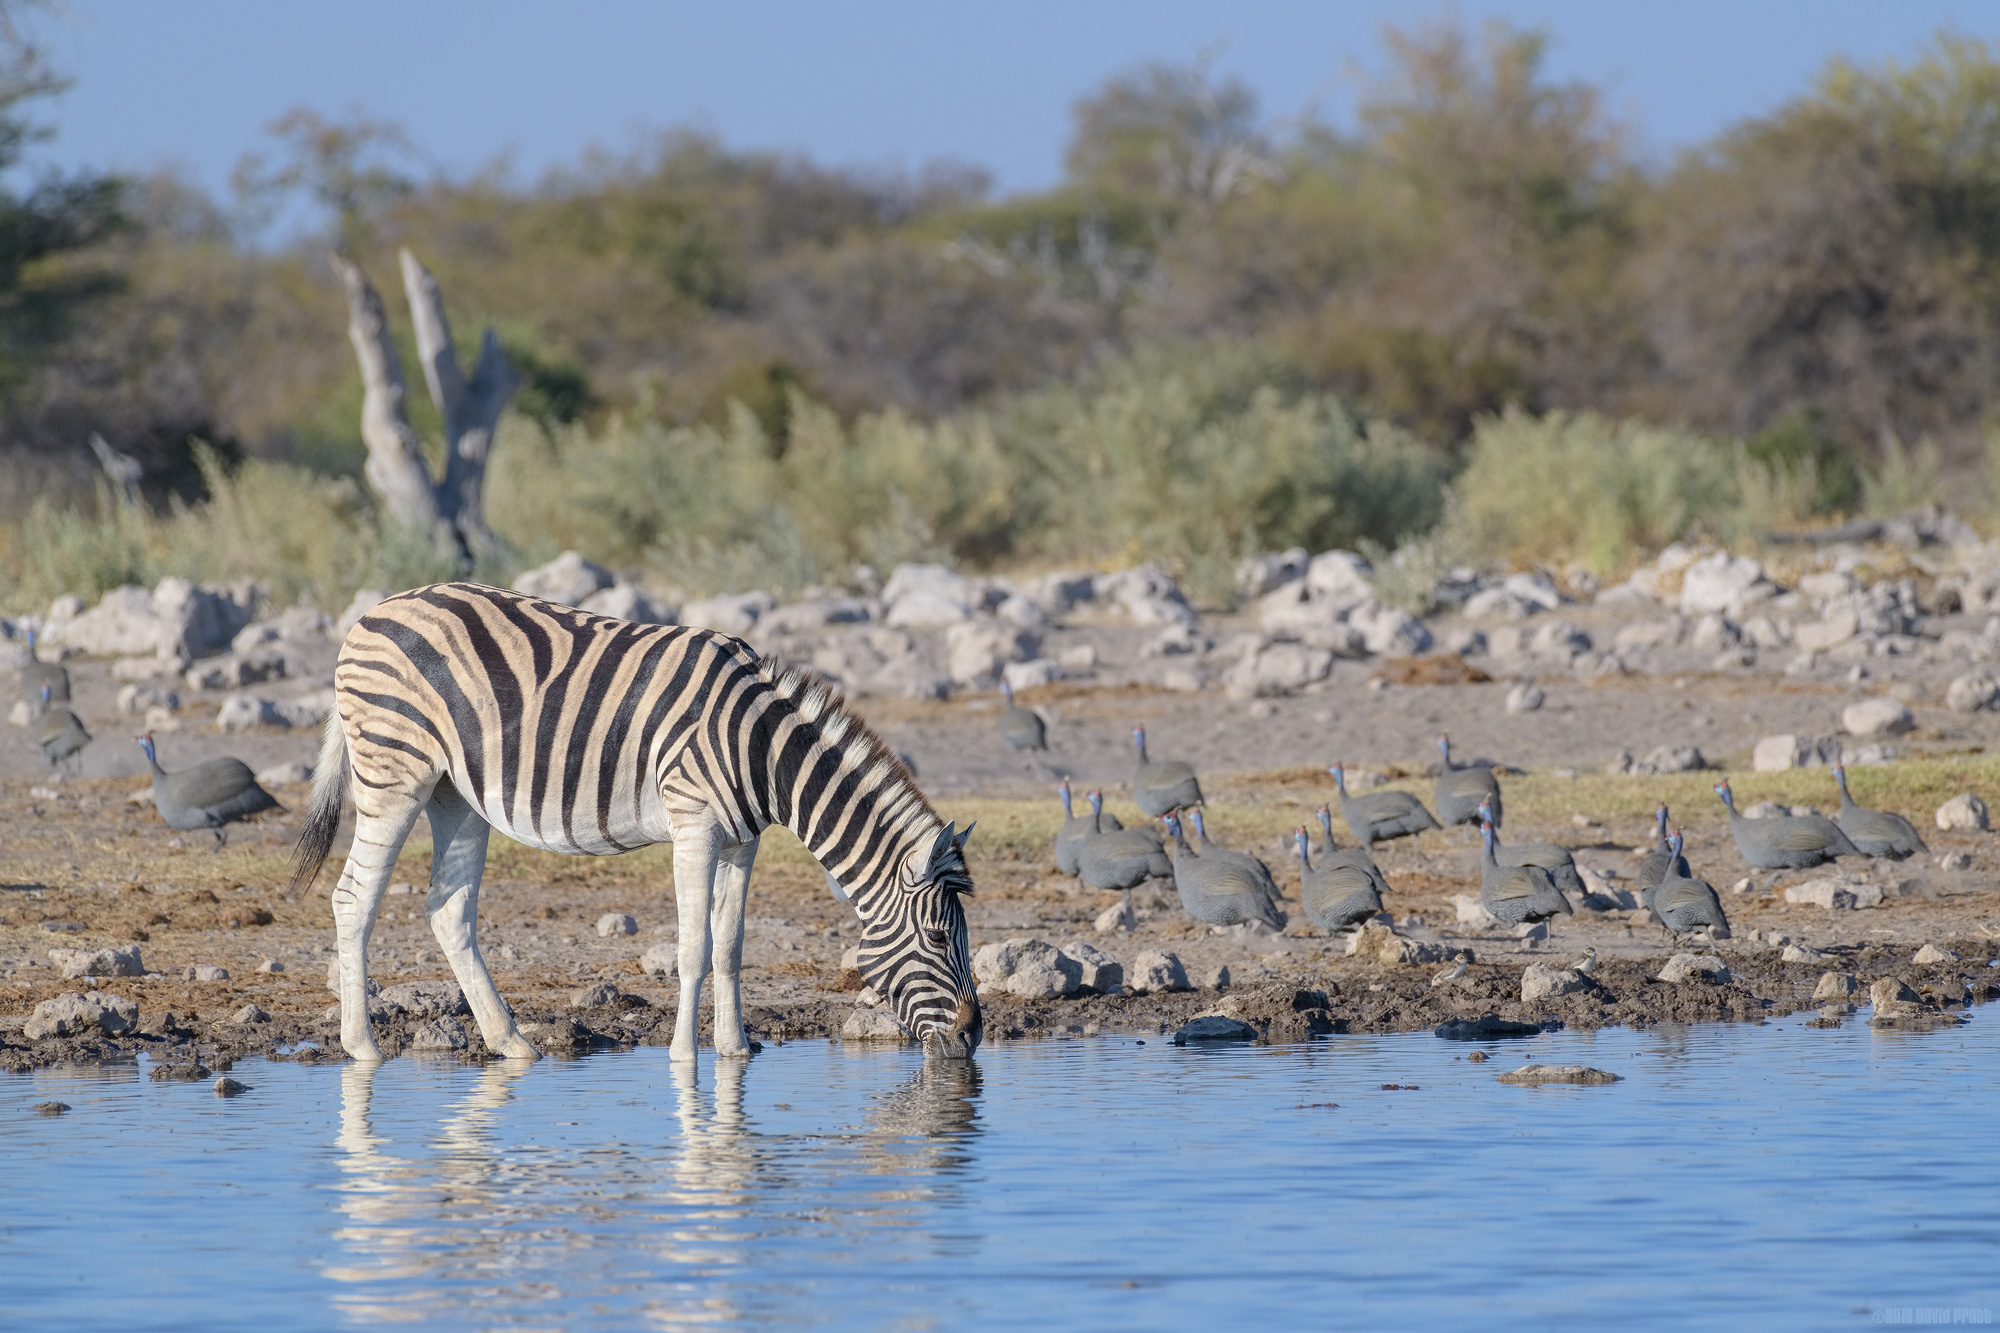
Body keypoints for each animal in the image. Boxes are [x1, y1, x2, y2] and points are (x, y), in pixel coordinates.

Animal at [287, 581, 983, 1064]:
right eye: (939, 938)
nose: (974, 1037)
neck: (762, 750)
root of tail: (372, 613)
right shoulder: (694, 823)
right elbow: (693, 948)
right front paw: (684, 1057)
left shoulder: (743, 841)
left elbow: (731, 945)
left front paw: (735, 1051)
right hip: (394, 771)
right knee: (353, 898)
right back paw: (362, 1048)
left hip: (454, 795)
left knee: (448, 909)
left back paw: (510, 1043)